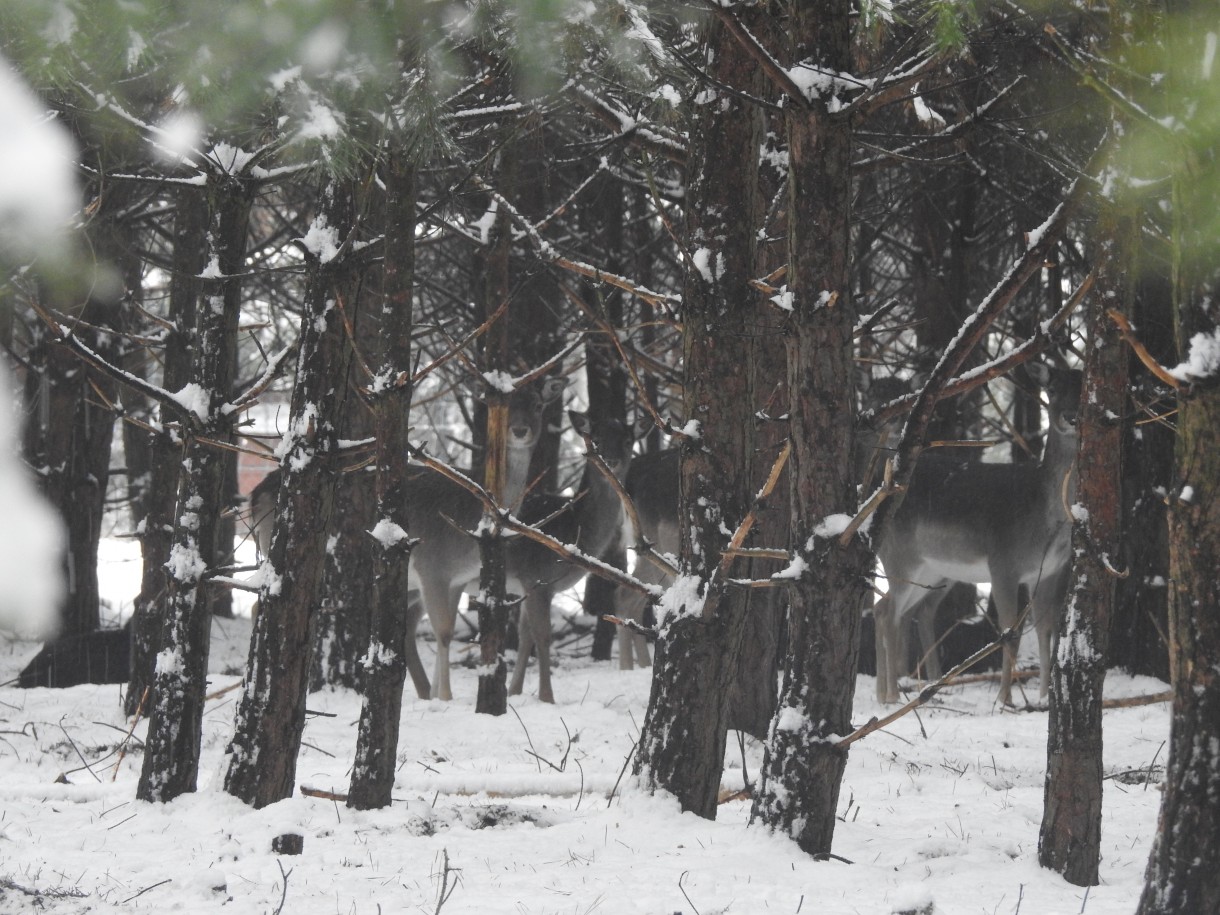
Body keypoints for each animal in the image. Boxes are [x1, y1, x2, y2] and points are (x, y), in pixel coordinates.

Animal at [873, 361, 1083, 707]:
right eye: (1052, 389)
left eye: (1083, 388)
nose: (1071, 416)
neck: (1043, 516)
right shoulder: (1003, 563)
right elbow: (1009, 631)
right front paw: (1005, 699)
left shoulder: (1051, 570)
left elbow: (1046, 629)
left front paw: (1043, 698)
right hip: (900, 556)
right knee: (890, 612)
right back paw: (892, 696)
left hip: (932, 571)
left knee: (885, 608)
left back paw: (884, 694)